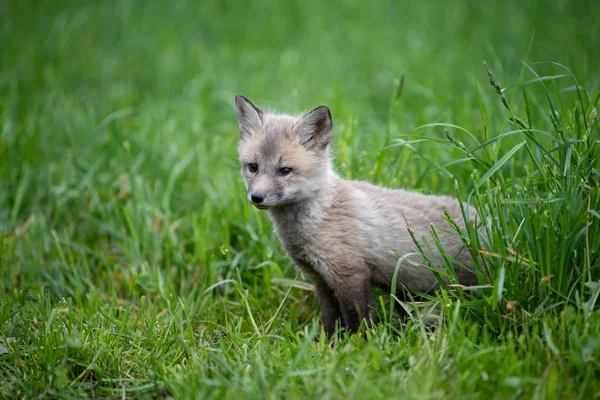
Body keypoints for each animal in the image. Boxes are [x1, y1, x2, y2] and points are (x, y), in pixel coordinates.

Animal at [236, 95, 482, 336]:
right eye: (253, 167)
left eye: (285, 171)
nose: (256, 197)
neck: (321, 217)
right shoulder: (321, 279)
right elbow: (331, 321)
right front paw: (330, 344)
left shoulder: (350, 273)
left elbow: (358, 321)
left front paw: (360, 344)